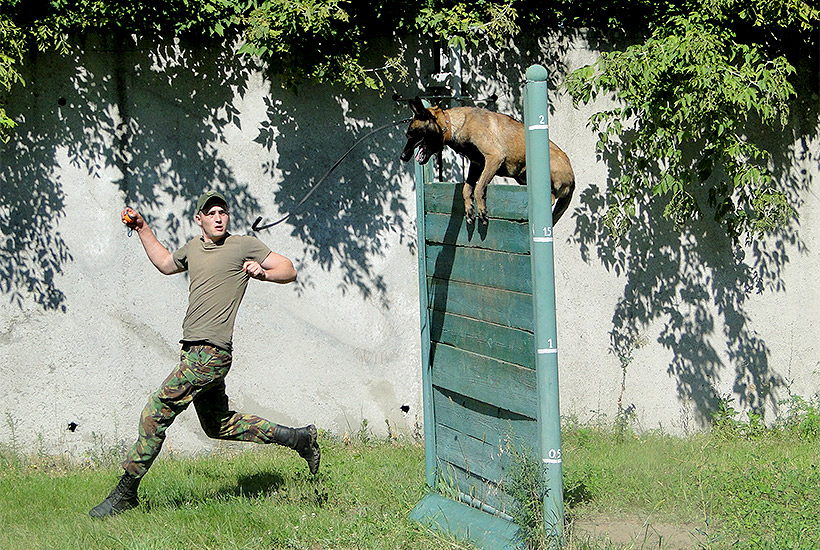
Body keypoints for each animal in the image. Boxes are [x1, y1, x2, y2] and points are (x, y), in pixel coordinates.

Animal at [400, 96, 575, 225]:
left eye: (411, 135)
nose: (402, 157)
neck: (452, 124)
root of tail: (573, 181)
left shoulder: (494, 157)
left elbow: (478, 188)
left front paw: (482, 210)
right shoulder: (477, 164)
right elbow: (467, 188)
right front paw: (469, 209)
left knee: (550, 198)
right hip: (521, 176)